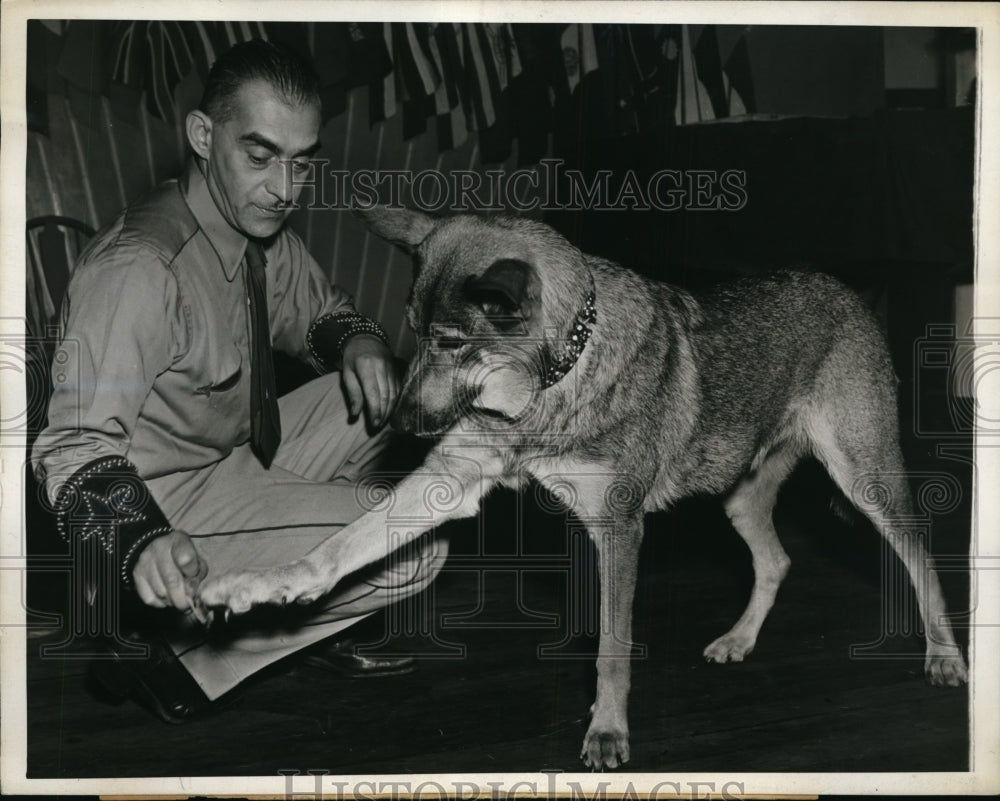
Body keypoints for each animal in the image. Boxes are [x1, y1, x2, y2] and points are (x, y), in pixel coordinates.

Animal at [197, 206, 968, 768]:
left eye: (452, 342)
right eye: (415, 334)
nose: (400, 422)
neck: (550, 387)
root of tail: (845, 289)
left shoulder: (620, 529)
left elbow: (612, 650)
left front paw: (607, 732)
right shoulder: (451, 480)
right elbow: (337, 548)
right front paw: (263, 585)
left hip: (866, 482)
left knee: (921, 558)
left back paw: (944, 657)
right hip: (739, 496)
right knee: (777, 559)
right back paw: (739, 640)